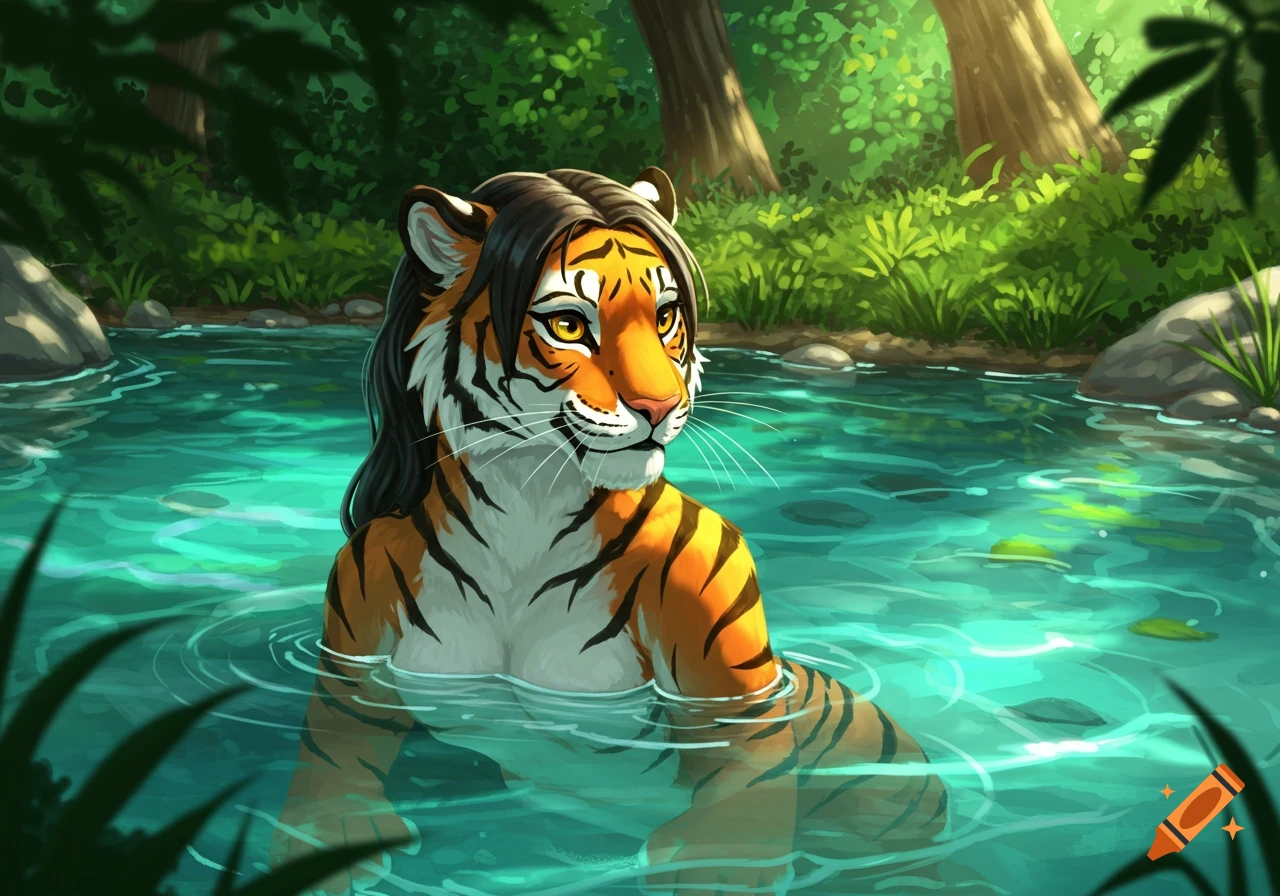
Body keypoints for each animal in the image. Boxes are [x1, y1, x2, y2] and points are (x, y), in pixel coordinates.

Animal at [270, 166, 948, 894]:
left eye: (665, 317)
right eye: (568, 323)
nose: (661, 405)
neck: (523, 502)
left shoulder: (733, 696)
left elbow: (740, 795)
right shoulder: (354, 625)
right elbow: (335, 741)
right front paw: (323, 836)